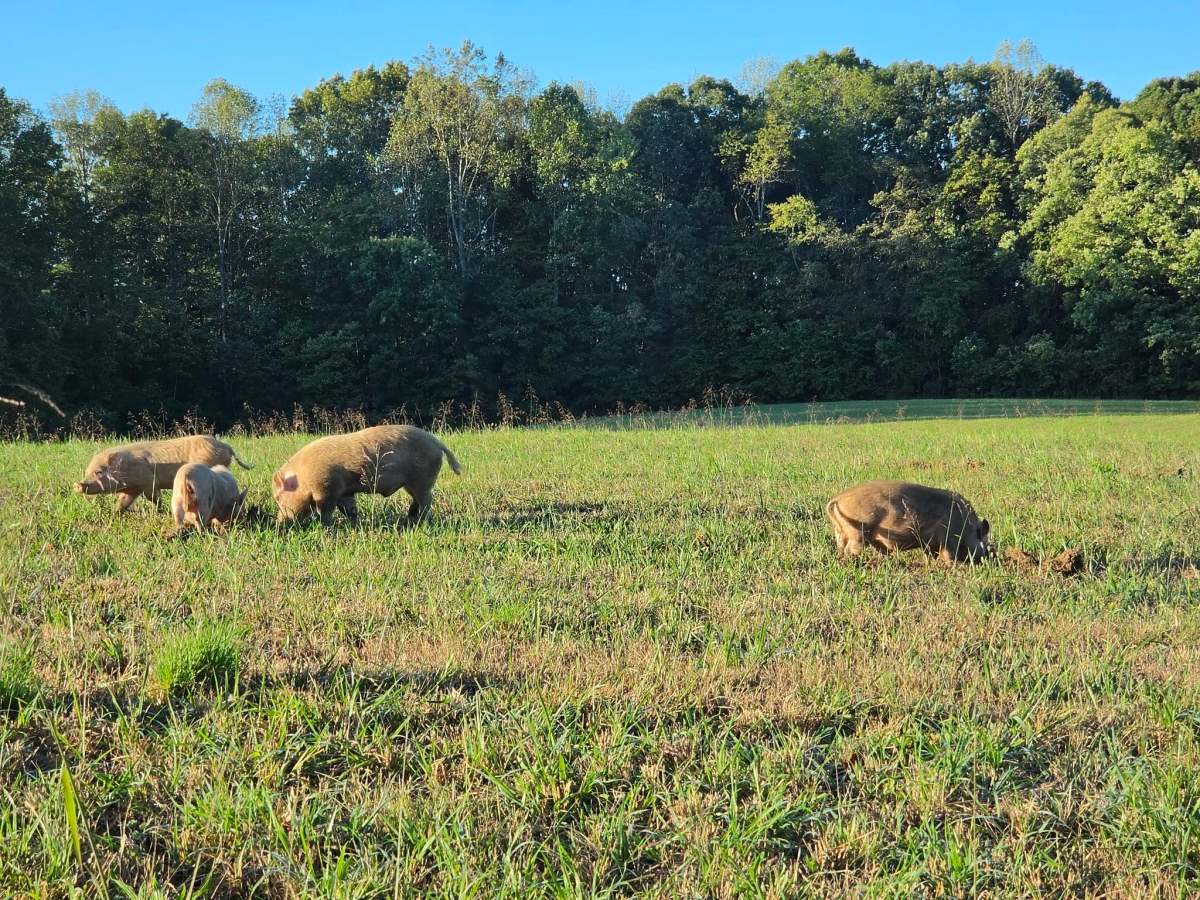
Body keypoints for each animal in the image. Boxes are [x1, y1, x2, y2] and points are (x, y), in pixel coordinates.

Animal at [76, 435, 253, 513]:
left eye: (99, 472)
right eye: (88, 471)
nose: (78, 485)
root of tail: (226, 446)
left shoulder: (149, 483)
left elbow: (155, 498)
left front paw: (161, 510)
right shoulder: (133, 489)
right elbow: (123, 502)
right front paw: (115, 513)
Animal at [273, 425, 461, 526]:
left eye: (278, 497)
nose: (278, 522)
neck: (303, 477)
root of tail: (437, 442)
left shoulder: (326, 487)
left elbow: (325, 511)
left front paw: (325, 525)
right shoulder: (345, 492)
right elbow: (349, 509)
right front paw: (354, 523)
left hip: (422, 480)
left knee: (427, 501)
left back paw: (420, 520)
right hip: (411, 484)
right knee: (416, 500)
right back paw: (410, 517)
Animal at [825, 480, 991, 564]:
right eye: (986, 543)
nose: (989, 558)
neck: (966, 526)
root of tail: (837, 499)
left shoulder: (929, 542)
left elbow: (930, 555)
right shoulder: (948, 538)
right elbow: (949, 555)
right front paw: (954, 566)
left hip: (840, 532)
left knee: (841, 548)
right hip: (857, 532)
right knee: (850, 550)